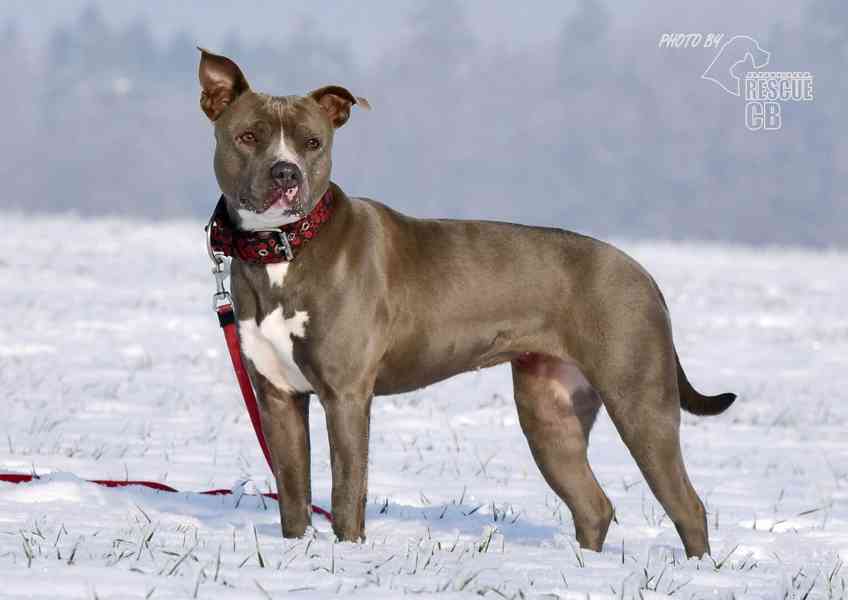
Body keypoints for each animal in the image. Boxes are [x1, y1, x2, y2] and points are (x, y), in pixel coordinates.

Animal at [199, 48, 736, 556]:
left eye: (312, 142)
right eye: (248, 136)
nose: (285, 173)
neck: (284, 247)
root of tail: (642, 271)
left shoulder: (346, 396)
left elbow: (347, 495)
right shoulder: (278, 398)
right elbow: (293, 497)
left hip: (640, 401)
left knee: (686, 504)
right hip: (549, 412)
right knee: (593, 505)